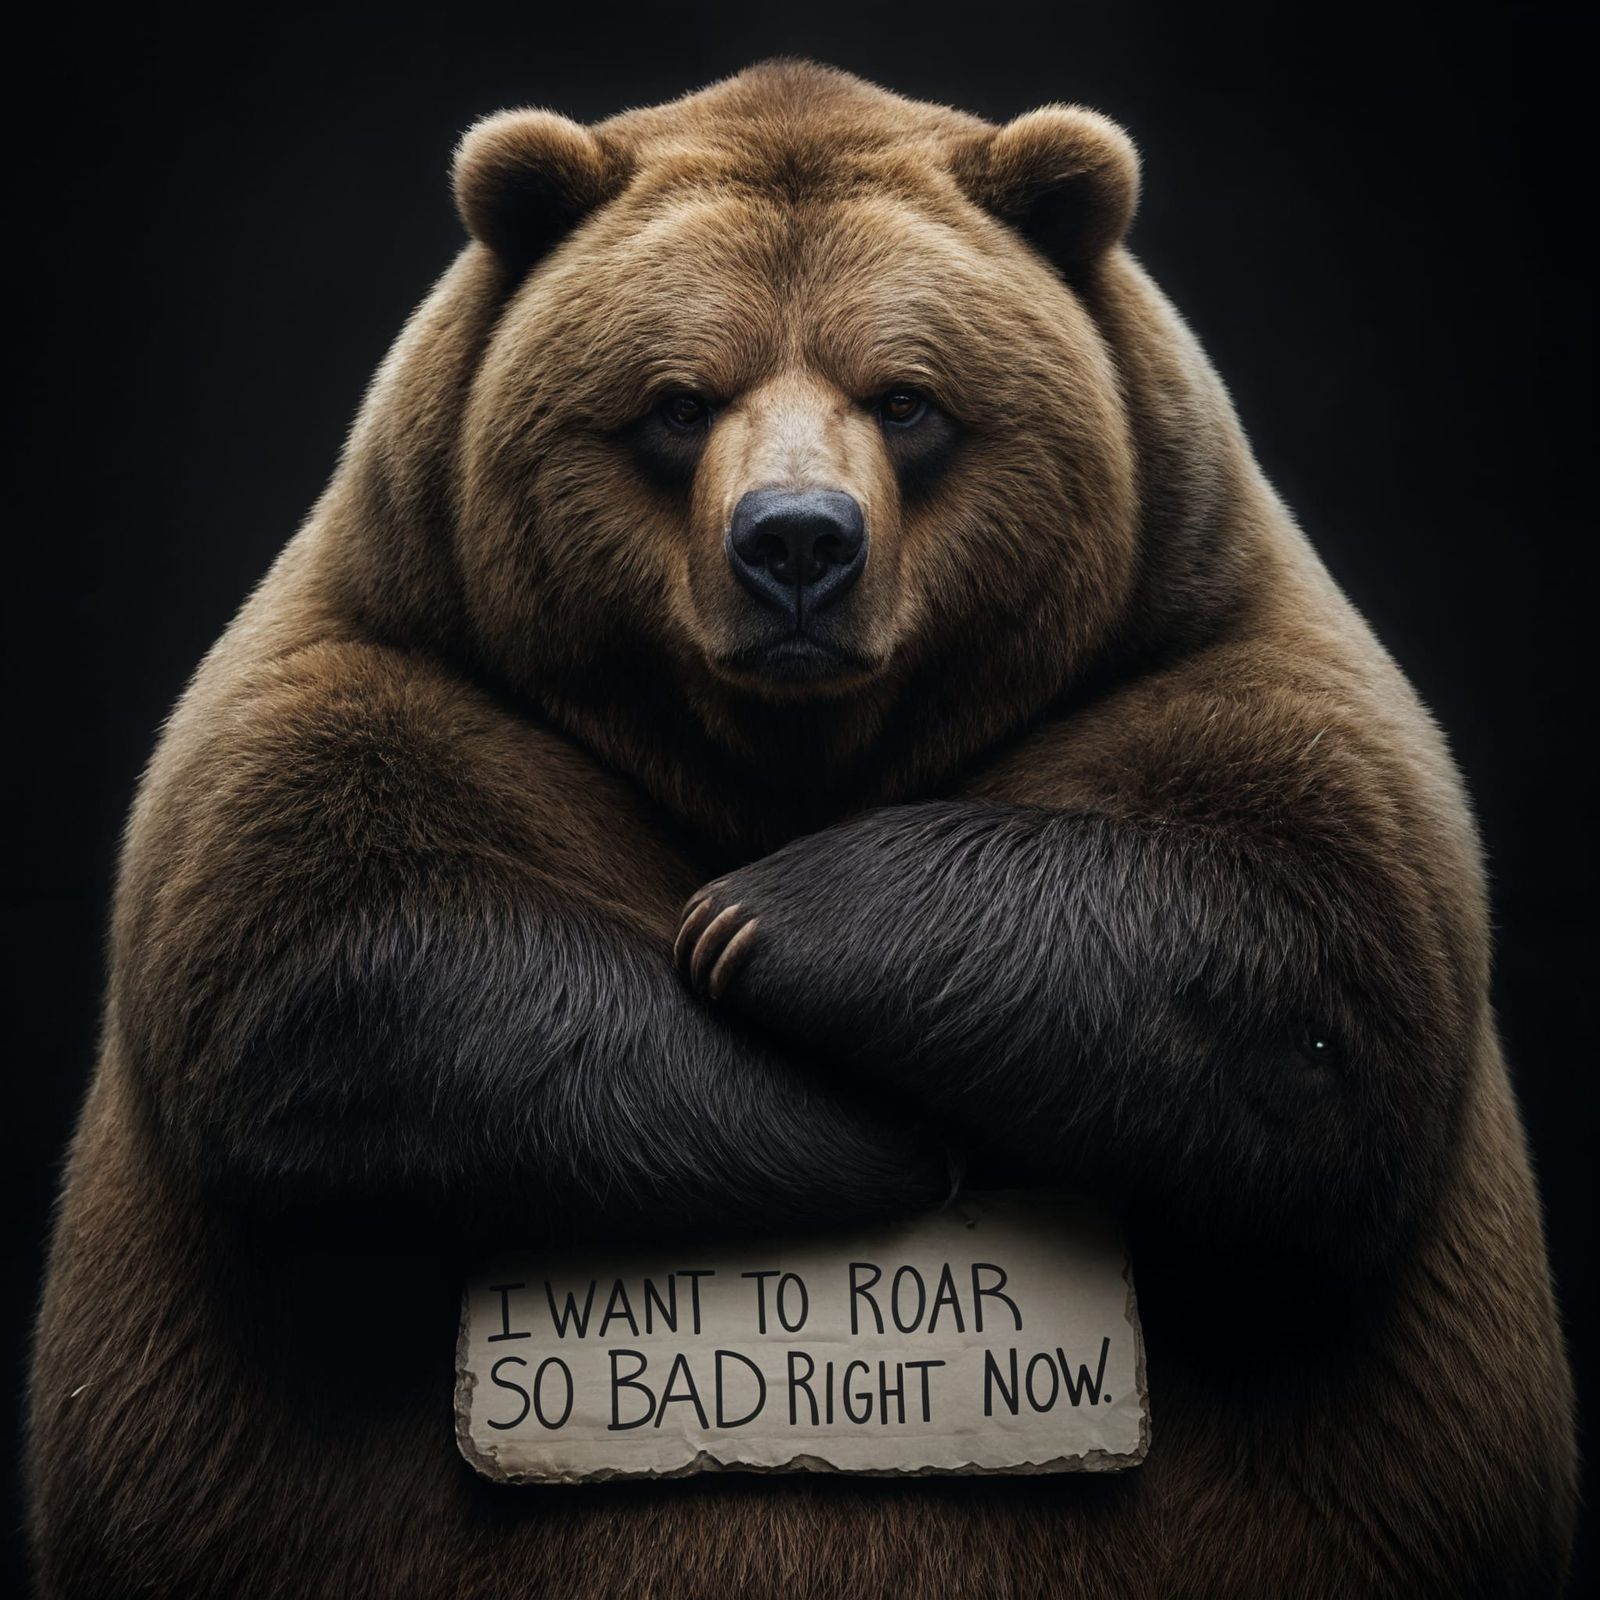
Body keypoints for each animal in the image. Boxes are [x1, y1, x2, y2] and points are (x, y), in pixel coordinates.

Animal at [27, 59, 1576, 1599]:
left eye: (905, 398)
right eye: (675, 401)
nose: (795, 543)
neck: (784, 756)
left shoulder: (1204, 639)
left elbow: (1310, 955)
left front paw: (776, 921)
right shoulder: (399, 656)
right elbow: (329, 954)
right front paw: (849, 1117)